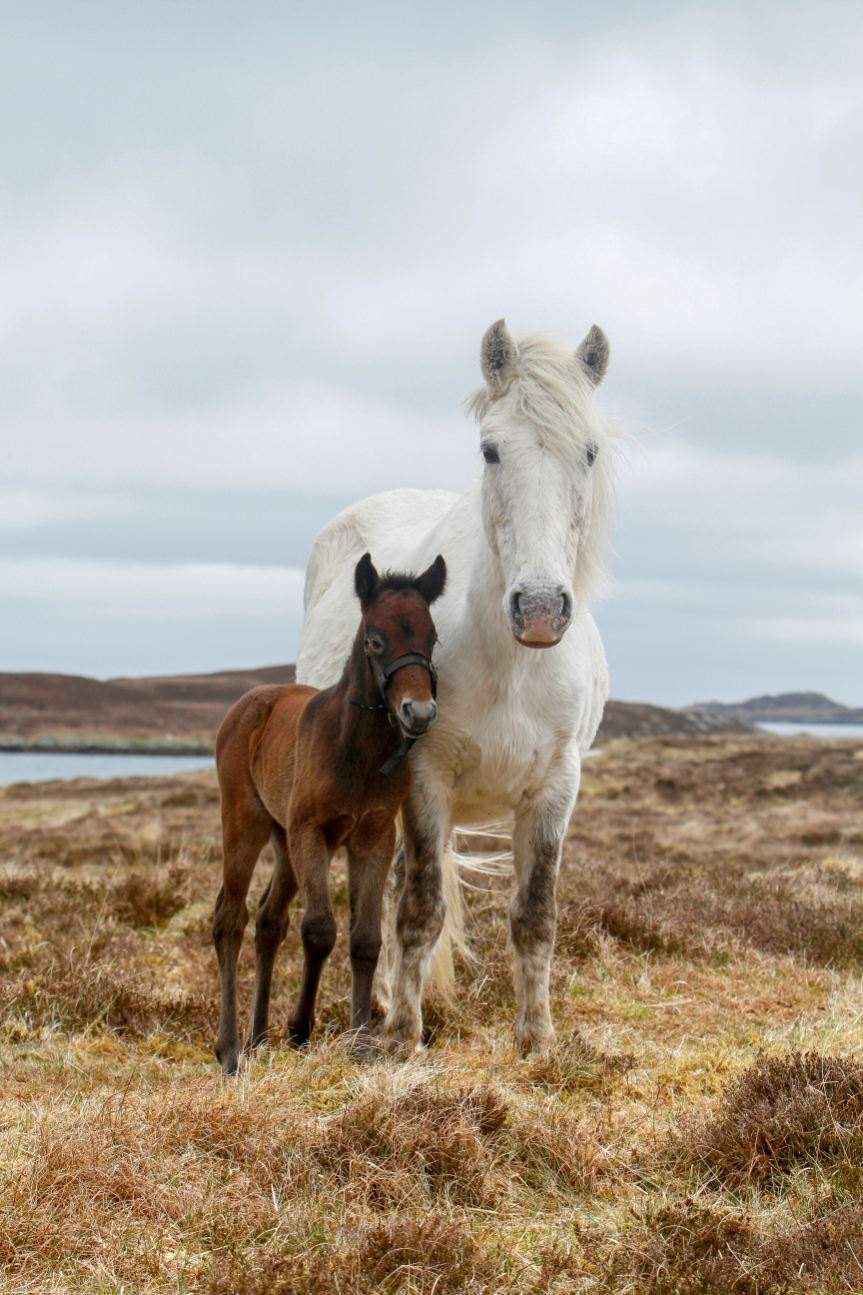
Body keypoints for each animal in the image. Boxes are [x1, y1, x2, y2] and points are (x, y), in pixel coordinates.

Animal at [213, 554, 443, 1072]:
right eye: (374, 639)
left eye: (432, 637)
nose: (418, 713)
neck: (356, 749)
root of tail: (248, 704)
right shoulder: (311, 832)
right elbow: (319, 930)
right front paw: (300, 1028)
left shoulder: (373, 836)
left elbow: (365, 939)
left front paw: (359, 1043)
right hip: (246, 824)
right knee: (230, 919)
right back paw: (230, 1049)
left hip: (283, 842)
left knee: (268, 921)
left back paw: (257, 1038)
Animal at [295, 321, 619, 1051]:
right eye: (490, 449)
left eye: (588, 452)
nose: (539, 609)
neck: (511, 665)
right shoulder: (424, 779)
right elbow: (418, 908)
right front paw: (401, 1037)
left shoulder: (556, 788)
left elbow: (534, 914)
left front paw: (537, 1041)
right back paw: (382, 1003)